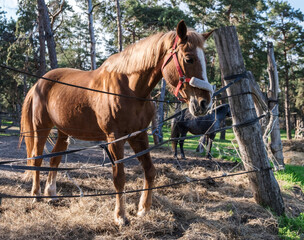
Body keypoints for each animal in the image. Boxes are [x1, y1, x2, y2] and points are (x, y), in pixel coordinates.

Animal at [19, 20, 214, 225]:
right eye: (189, 59)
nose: (204, 103)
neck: (131, 90)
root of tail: (38, 83)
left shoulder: (139, 136)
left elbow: (150, 170)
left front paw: (143, 209)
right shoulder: (115, 139)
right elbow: (119, 177)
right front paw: (120, 216)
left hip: (64, 132)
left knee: (54, 158)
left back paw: (51, 193)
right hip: (42, 127)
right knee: (37, 158)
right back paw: (36, 194)